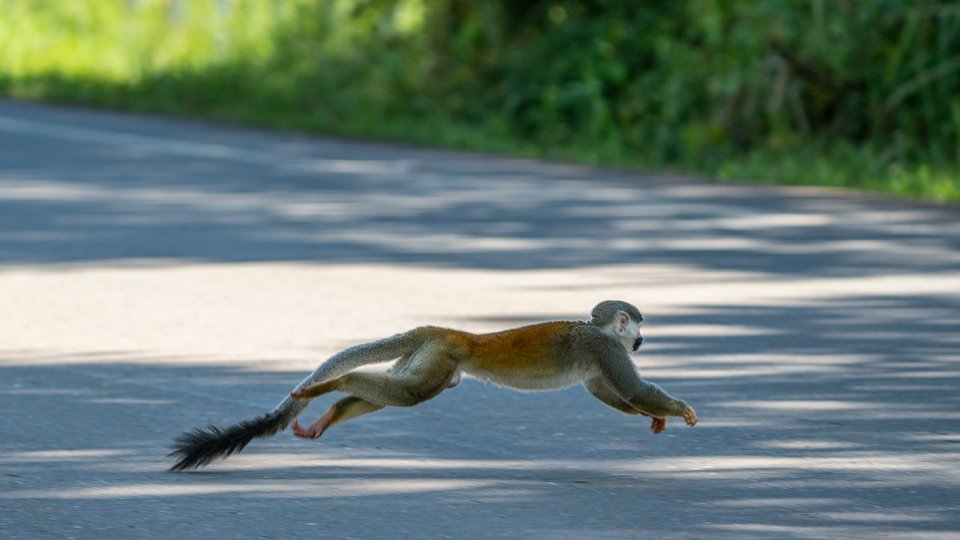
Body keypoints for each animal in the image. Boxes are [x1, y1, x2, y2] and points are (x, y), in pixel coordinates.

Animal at [168, 300, 697, 471]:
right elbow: (628, 389)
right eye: (637, 330)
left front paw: (655, 416)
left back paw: (329, 412)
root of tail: (446, 331)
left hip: (427, 356)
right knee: (409, 393)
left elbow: (607, 393)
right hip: (442, 354)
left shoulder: (603, 360)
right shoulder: (607, 349)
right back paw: (332, 387)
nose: (642, 340)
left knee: (406, 388)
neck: (602, 332)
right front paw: (674, 408)